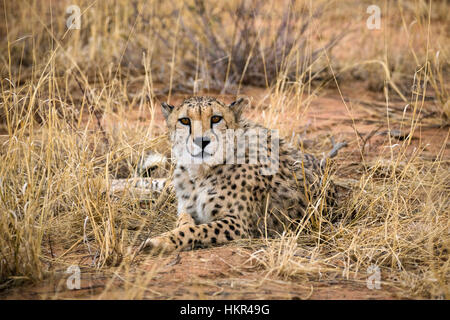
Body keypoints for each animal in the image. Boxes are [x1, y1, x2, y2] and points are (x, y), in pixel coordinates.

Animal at [125, 96, 346, 254]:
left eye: (216, 118)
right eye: (184, 121)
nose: (201, 141)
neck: (201, 172)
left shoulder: (239, 224)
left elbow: (194, 230)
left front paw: (160, 241)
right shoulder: (187, 209)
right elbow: (184, 222)